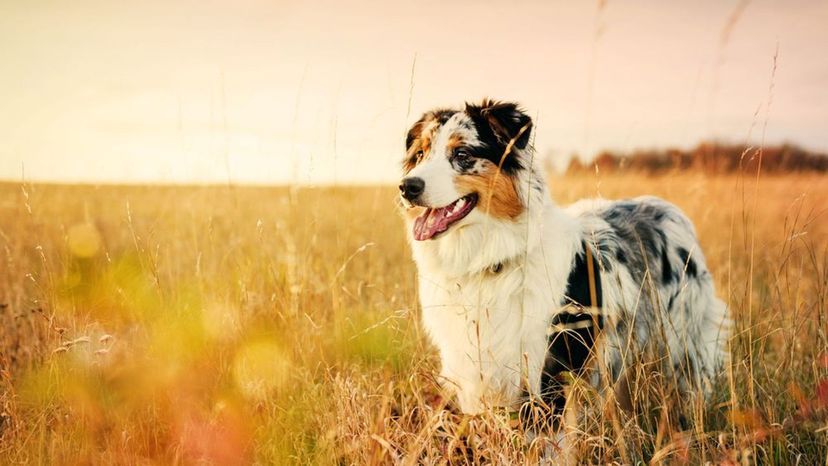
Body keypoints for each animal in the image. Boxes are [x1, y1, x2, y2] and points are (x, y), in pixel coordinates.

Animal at [398, 100, 728, 432]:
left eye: (462, 154)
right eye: (420, 154)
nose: (406, 186)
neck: (490, 261)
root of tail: (668, 208)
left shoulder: (548, 369)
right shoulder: (474, 370)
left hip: (681, 346)